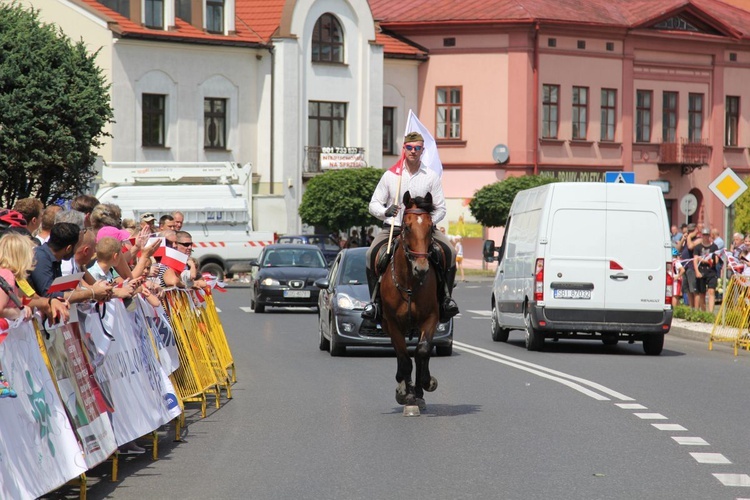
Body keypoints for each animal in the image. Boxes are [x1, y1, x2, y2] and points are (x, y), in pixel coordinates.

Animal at [382, 189, 440, 408]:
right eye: (407, 226)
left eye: (431, 227)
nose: (421, 268)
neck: (409, 284)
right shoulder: (392, 323)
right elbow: (404, 357)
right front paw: (406, 395)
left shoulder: (431, 318)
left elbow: (422, 352)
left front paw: (425, 383)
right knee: (401, 356)